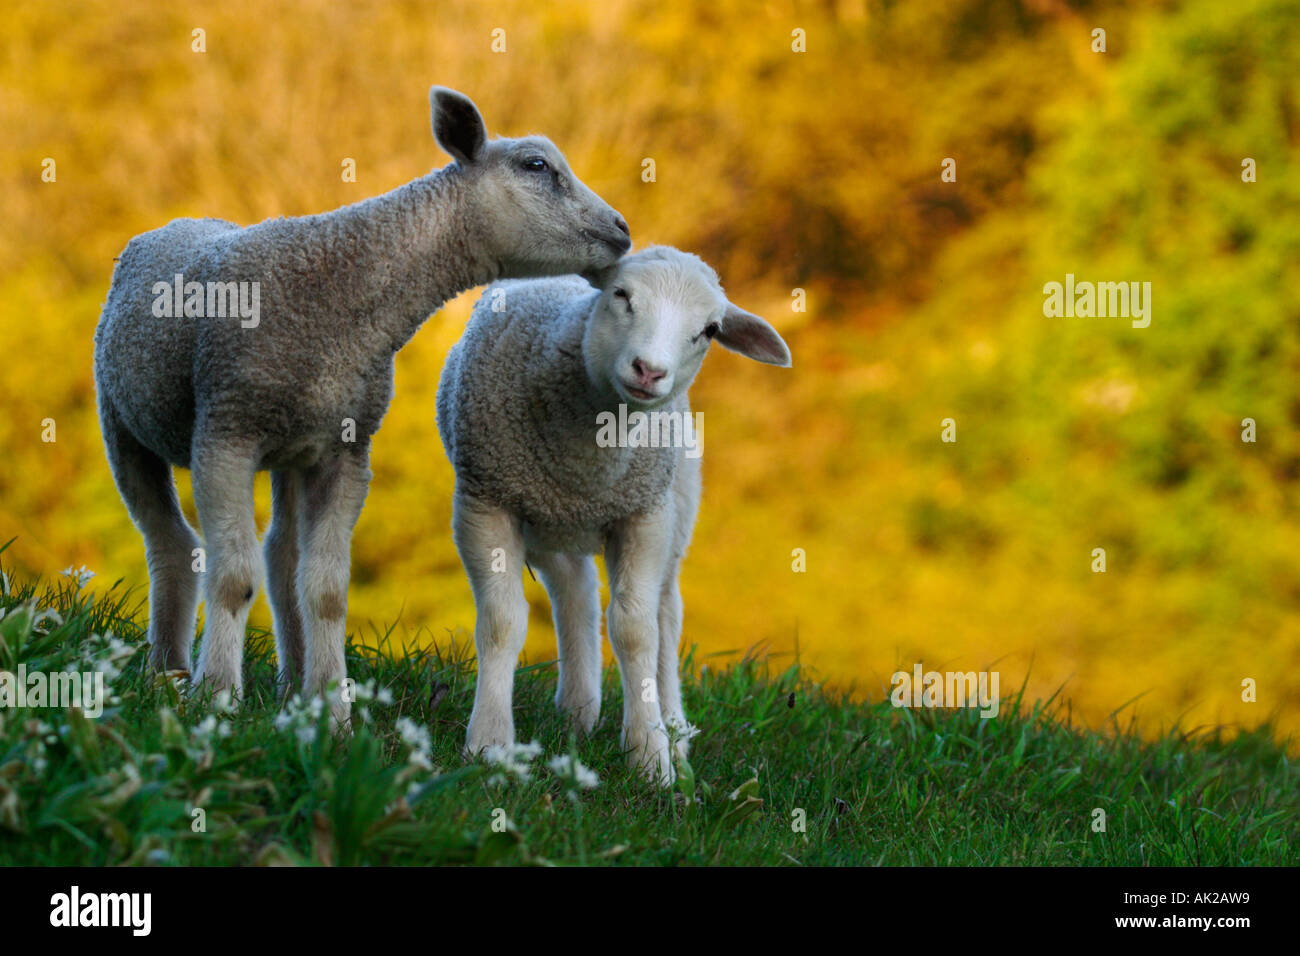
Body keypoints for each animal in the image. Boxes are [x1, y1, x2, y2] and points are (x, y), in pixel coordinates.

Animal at [436, 247, 790, 785]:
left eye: (710, 330)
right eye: (621, 294)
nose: (649, 371)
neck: (590, 456)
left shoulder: (644, 515)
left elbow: (636, 630)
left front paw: (649, 758)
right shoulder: (484, 501)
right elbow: (502, 622)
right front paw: (490, 743)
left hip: (675, 505)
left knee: (665, 612)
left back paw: (673, 730)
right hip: (549, 519)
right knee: (575, 592)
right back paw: (578, 711)